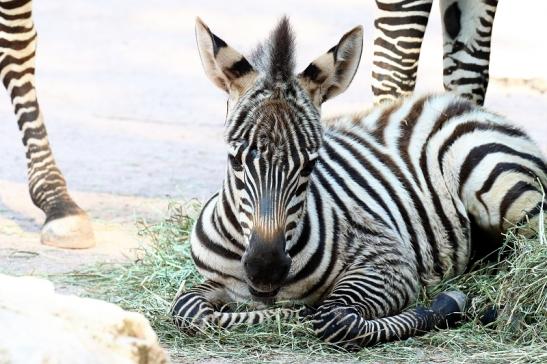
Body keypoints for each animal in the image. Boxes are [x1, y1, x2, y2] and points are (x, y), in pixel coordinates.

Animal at [172, 17, 547, 350]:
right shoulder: (212, 282)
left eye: (310, 165)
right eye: (235, 161)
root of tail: (461, 105)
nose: (266, 271)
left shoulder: (390, 262)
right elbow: (186, 309)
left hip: (502, 187)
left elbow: (335, 319)